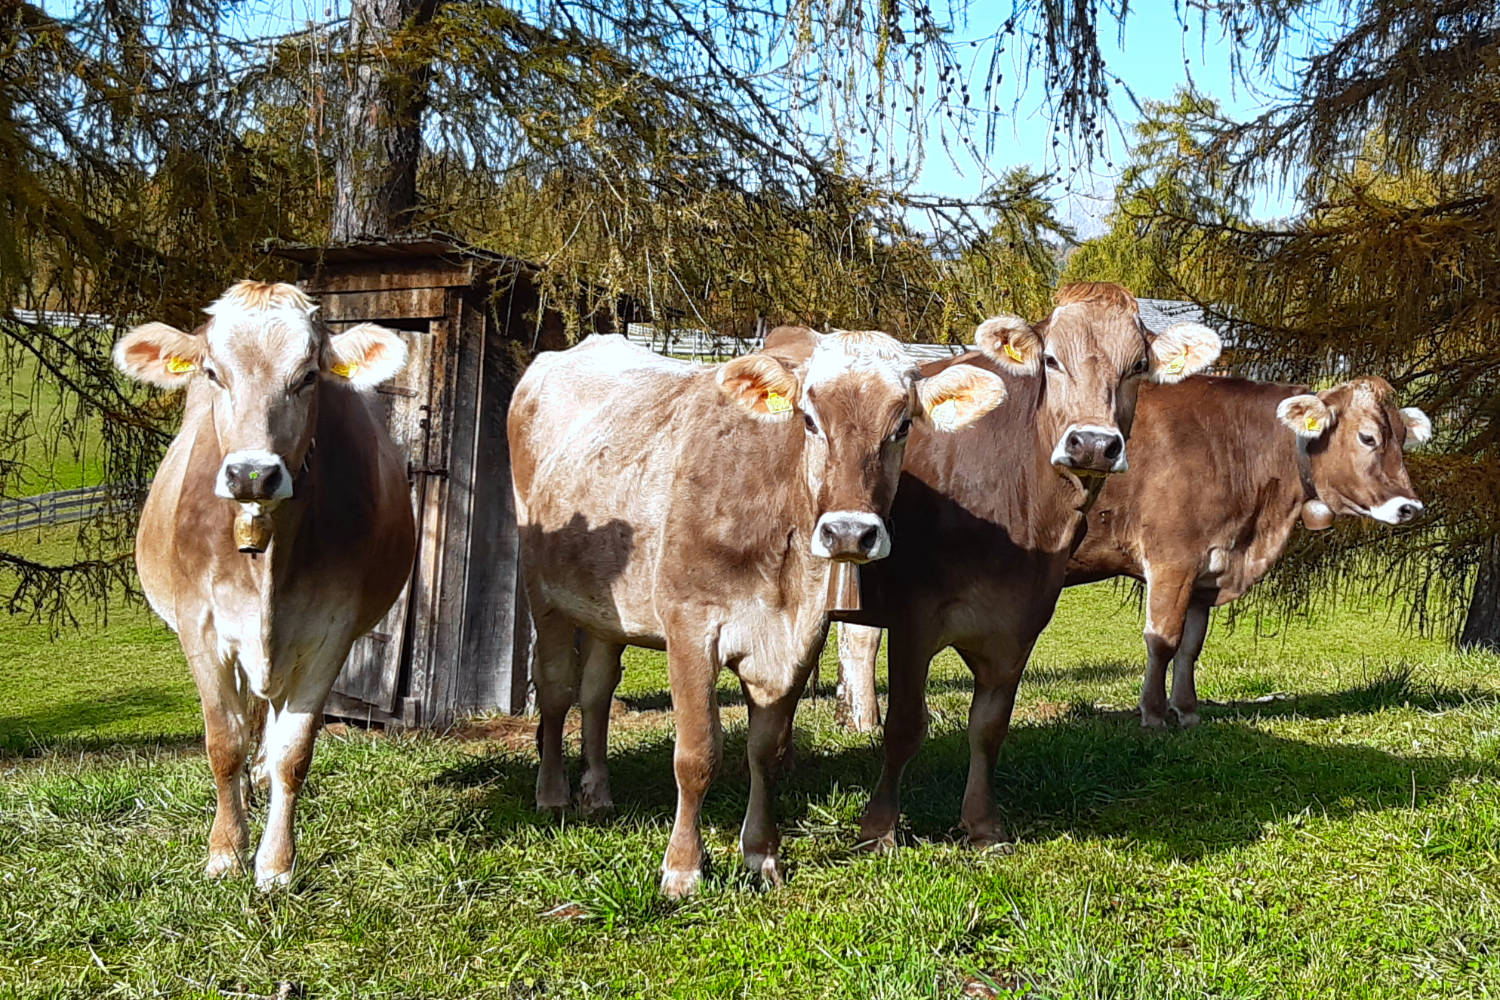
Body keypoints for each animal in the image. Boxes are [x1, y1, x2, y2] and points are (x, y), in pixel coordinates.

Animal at [113, 281, 416, 888]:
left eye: (307, 376)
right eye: (212, 373)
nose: (252, 473)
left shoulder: (329, 635)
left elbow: (292, 752)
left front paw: (275, 863)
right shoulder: (201, 630)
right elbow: (223, 744)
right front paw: (225, 851)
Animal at [507, 327, 1021, 896]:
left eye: (903, 424)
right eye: (809, 419)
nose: (849, 532)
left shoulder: (797, 639)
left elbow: (766, 750)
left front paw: (761, 854)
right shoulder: (690, 626)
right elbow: (698, 752)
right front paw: (683, 868)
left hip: (607, 609)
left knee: (597, 690)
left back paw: (597, 792)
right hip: (544, 592)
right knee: (556, 688)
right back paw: (552, 793)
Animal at [852, 282, 1221, 850]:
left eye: (1138, 365)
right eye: (1051, 360)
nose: (1092, 443)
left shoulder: (1021, 620)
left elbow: (989, 727)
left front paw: (983, 826)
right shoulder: (915, 618)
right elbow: (907, 725)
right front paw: (878, 828)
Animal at [1062, 374, 1431, 728]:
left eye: (1402, 437)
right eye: (1368, 437)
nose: (1410, 508)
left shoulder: (1205, 572)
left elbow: (1190, 647)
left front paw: (1187, 710)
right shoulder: (1172, 560)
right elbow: (1163, 641)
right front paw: (1153, 714)